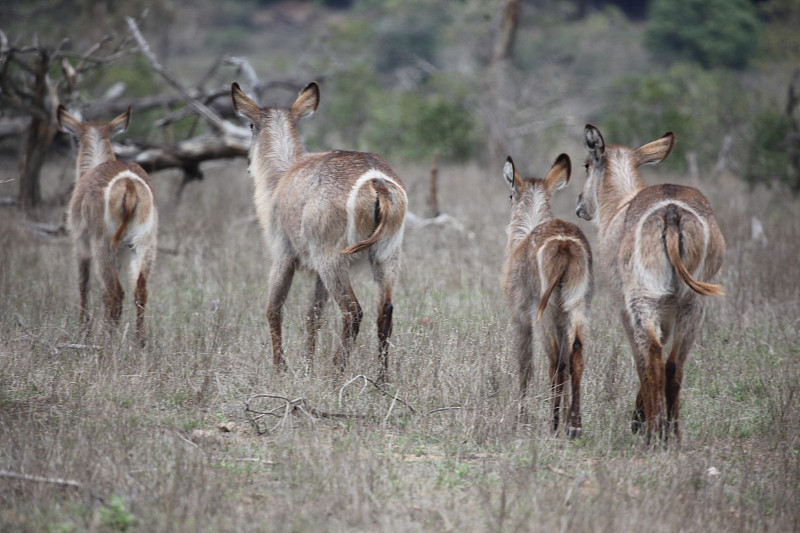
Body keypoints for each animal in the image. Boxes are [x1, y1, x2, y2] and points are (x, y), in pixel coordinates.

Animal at [58, 105, 159, 344]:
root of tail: (129, 184)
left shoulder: (80, 243)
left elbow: (84, 284)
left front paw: (83, 331)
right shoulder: (122, 251)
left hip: (102, 243)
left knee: (116, 293)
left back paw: (107, 342)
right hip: (142, 243)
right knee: (139, 289)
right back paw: (139, 343)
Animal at [230, 81, 406, 378]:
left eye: (250, 125)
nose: (247, 165)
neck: (279, 179)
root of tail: (376, 182)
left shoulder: (282, 255)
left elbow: (273, 309)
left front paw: (281, 369)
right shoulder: (317, 275)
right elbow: (313, 316)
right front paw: (308, 366)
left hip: (331, 258)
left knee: (353, 311)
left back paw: (336, 375)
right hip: (386, 255)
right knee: (386, 311)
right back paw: (382, 381)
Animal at [500, 153, 592, 436]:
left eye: (510, 195)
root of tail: (564, 245)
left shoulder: (519, 317)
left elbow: (525, 366)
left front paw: (520, 419)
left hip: (544, 311)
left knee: (554, 362)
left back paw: (554, 423)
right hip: (576, 305)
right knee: (575, 354)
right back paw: (573, 426)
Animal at [576, 124, 724, 444]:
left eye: (586, 164)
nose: (580, 206)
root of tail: (671, 212)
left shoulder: (624, 307)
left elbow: (638, 358)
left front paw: (638, 420)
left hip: (643, 298)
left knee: (653, 358)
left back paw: (653, 433)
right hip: (692, 304)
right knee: (673, 364)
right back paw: (673, 433)